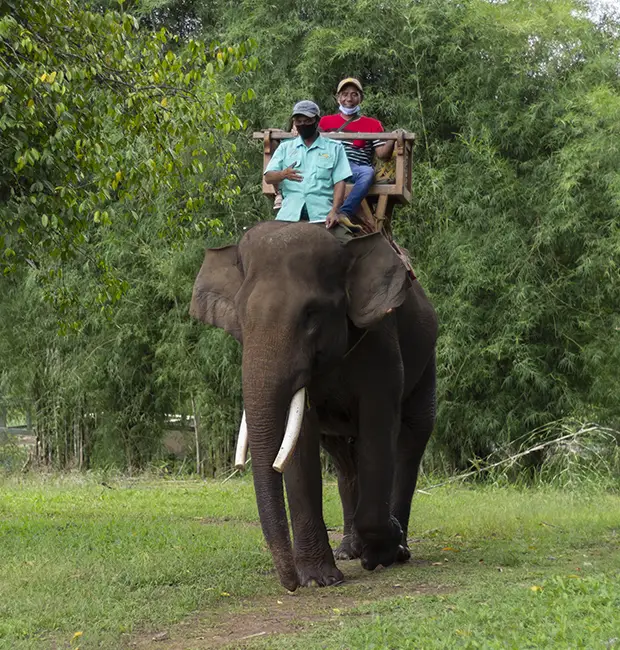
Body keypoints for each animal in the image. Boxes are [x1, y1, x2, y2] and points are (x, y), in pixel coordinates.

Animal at [190, 220, 437, 591]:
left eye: (311, 315)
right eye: (240, 316)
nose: (289, 583)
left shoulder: (381, 343)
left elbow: (378, 429)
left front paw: (381, 551)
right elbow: (300, 442)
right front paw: (319, 580)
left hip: (427, 359)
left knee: (411, 440)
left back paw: (399, 549)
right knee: (344, 458)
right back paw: (349, 549)